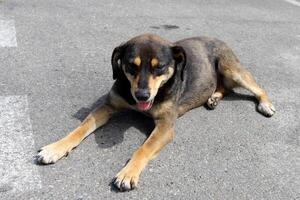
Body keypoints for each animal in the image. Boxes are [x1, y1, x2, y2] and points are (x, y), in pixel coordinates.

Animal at [36, 33, 276, 191]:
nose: (142, 95)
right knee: (224, 87)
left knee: (256, 87)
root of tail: (217, 38)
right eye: (131, 66)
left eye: (159, 67)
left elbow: (143, 149)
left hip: (232, 69)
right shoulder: (108, 106)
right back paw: (214, 98)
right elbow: (81, 128)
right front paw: (55, 148)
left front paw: (128, 173)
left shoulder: (165, 126)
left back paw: (266, 104)